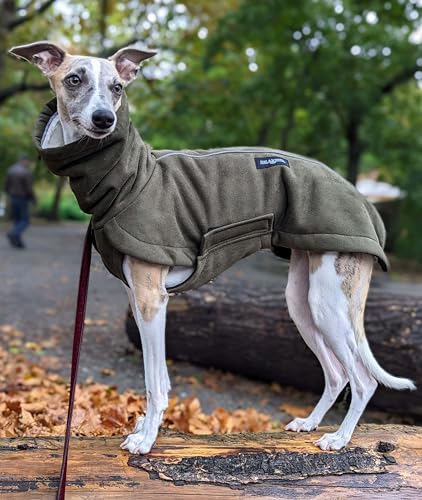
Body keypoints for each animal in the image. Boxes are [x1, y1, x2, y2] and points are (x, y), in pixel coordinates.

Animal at [9, 42, 416, 458]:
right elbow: (160, 377)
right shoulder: (140, 301)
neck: (129, 177)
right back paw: (310, 422)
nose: (104, 119)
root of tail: (365, 202)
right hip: (302, 302)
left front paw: (146, 439)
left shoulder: (152, 299)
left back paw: (339, 437)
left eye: (117, 87)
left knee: (363, 379)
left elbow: (154, 381)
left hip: (329, 303)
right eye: (74, 79)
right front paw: (145, 427)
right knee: (336, 374)